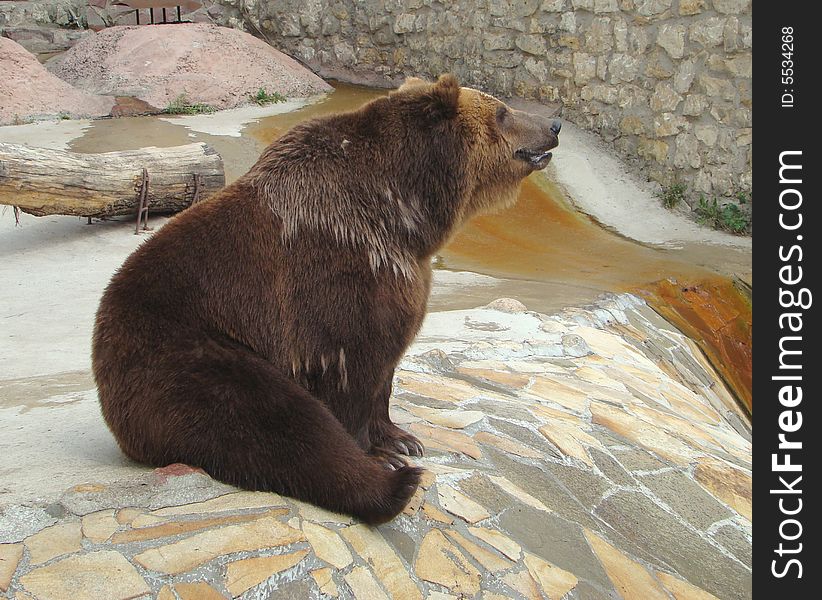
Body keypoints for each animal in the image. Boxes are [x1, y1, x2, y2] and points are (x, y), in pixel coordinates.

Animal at [93, 75, 564, 524]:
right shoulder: (338, 267)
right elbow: (350, 365)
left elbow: (387, 368)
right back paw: (391, 486)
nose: (554, 125)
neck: (405, 213)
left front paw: (401, 438)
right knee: (278, 422)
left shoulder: (403, 271)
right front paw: (382, 451)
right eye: (503, 112)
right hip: (183, 355)